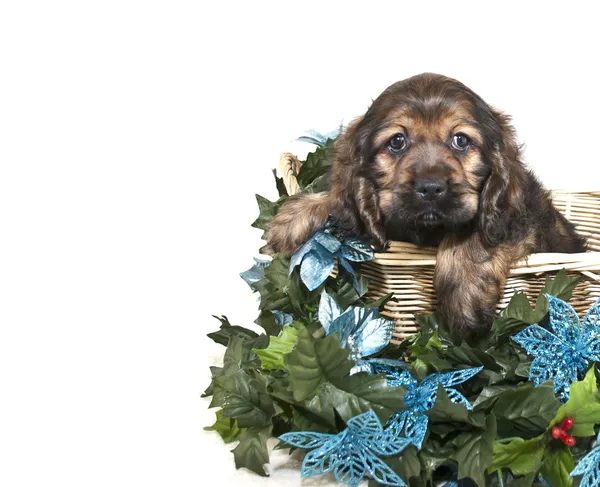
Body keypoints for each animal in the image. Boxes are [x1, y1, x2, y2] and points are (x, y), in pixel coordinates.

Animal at [268, 73, 584, 340]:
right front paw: (291, 219)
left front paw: (464, 294)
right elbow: (337, 200)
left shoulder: (522, 223)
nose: (431, 187)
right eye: (397, 141)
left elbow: (472, 234)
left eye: (460, 140)